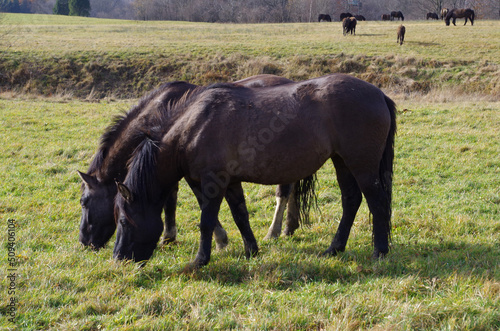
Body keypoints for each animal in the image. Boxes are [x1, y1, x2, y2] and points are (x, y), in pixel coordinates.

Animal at [76, 75, 302, 252]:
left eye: (84, 202)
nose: (84, 242)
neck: (159, 114)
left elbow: (195, 200)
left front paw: (219, 239)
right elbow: (171, 201)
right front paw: (169, 237)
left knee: (284, 192)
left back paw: (274, 231)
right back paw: (289, 227)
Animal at [114, 74, 398, 268]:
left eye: (123, 221)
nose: (118, 258)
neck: (194, 126)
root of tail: (379, 94)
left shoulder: (212, 183)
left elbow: (206, 221)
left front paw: (200, 259)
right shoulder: (230, 182)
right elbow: (240, 215)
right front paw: (251, 249)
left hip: (362, 165)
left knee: (377, 202)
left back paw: (380, 251)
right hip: (342, 162)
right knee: (351, 201)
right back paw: (334, 248)